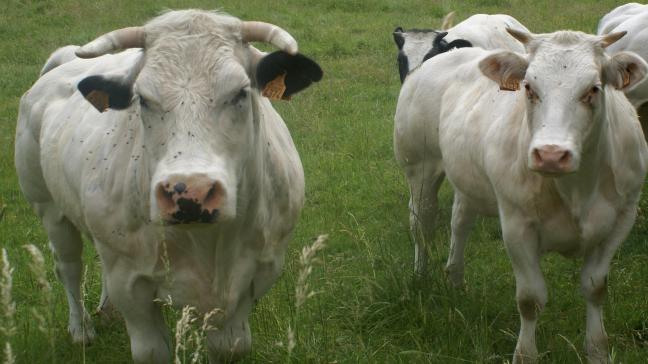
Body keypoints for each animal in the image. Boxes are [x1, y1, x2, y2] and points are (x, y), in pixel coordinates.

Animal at [17, 9, 324, 362]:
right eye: (143, 99)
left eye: (240, 93)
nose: (190, 192)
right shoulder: (129, 283)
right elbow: (151, 349)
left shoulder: (256, 273)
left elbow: (229, 345)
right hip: (48, 207)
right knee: (68, 266)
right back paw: (81, 329)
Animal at [394, 27, 648, 362]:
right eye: (529, 87)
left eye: (593, 89)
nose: (551, 155)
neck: (576, 189)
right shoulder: (516, 225)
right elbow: (530, 300)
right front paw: (525, 354)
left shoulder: (621, 220)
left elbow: (595, 288)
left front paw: (597, 351)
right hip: (419, 168)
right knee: (421, 224)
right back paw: (421, 276)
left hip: (468, 180)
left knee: (459, 223)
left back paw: (456, 280)